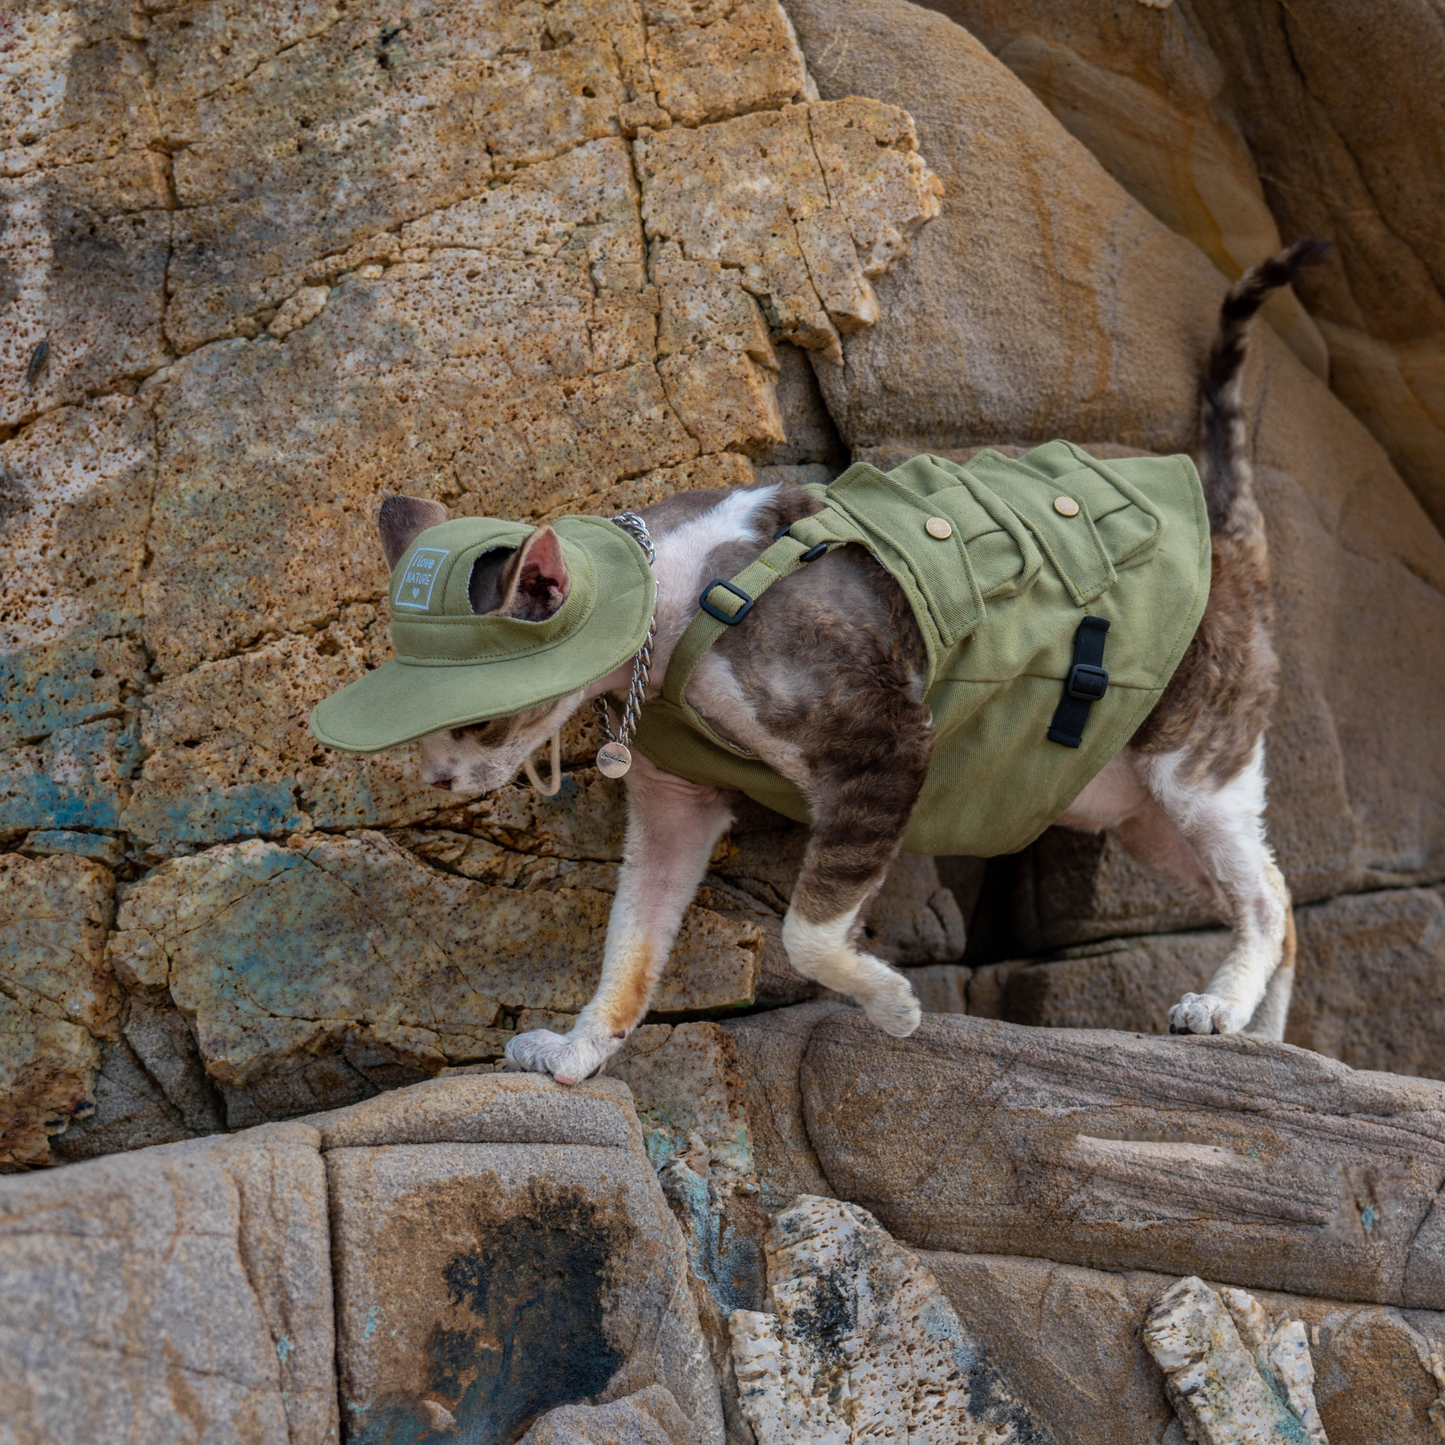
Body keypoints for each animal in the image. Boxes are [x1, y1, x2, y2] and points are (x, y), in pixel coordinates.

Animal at [375, 245, 1329, 1086]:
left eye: (473, 721)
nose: (435, 782)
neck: (674, 594)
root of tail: (1226, 532)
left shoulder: (885, 743)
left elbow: (806, 930)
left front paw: (892, 1003)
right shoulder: (673, 803)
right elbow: (631, 943)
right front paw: (578, 1051)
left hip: (1189, 757)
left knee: (1263, 896)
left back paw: (1218, 1007)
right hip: (1135, 810)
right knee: (1281, 902)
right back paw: (1265, 1038)